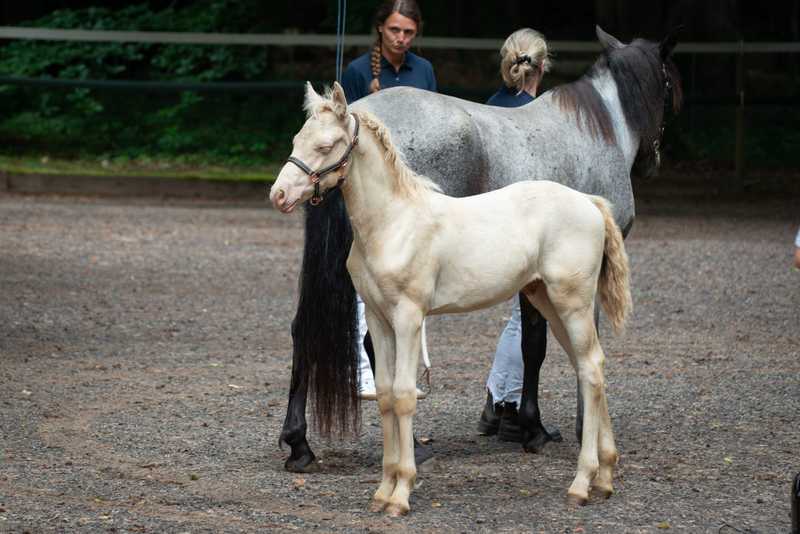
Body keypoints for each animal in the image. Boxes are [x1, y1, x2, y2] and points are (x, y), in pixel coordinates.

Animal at [270, 81, 633, 514]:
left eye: (325, 146)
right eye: (296, 139)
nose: (279, 195)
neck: (394, 221)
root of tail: (590, 203)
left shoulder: (409, 316)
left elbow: (405, 395)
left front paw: (402, 494)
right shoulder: (378, 316)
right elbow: (387, 395)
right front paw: (383, 490)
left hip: (571, 302)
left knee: (591, 369)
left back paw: (582, 483)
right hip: (548, 300)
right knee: (589, 366)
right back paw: (605, 478)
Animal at [278, 26, 682, 473]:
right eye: (668, 83)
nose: (652, 161)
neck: (596, 133)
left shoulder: (533, 280)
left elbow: (531, 345)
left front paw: (522, 425)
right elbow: (561, 347)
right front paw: (563, 429)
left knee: (304, 331)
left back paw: (299, 443)